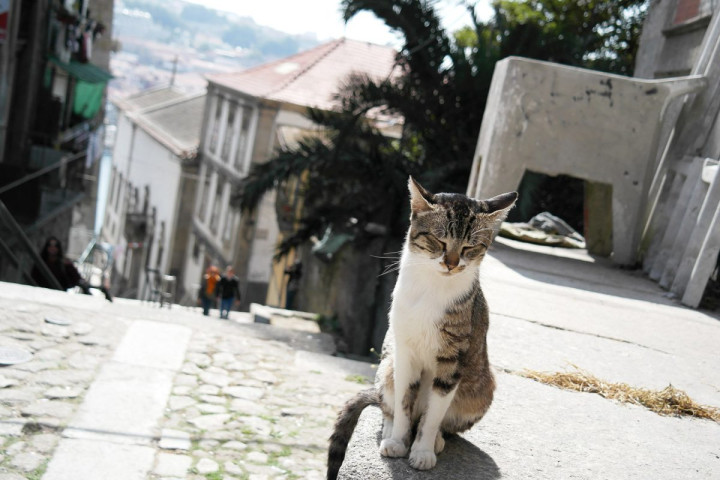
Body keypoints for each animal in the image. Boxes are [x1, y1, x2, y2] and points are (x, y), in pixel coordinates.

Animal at [326, 177, 516, 480]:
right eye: (439, 240)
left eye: (469, 247)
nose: (451, 263)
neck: (432, 287)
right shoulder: (404, 351)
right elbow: (403, 401)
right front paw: (397, 440)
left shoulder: (453, 359)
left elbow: (434, 412)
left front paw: (423, 450)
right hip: (387, 365)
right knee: (387, 405)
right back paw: (390, 430)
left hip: (481, 389)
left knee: (442, 421)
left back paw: (436, 439)